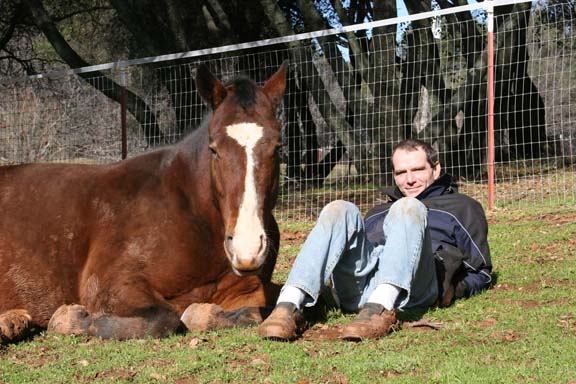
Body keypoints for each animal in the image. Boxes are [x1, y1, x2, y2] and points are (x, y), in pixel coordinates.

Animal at [0, 62, 286, 342]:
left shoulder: (243, 288)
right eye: (214, 149)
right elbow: (163, 319)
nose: (247, 249)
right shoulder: (112, 284)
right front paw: (68, 319)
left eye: (278, 147)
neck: (192, 211)